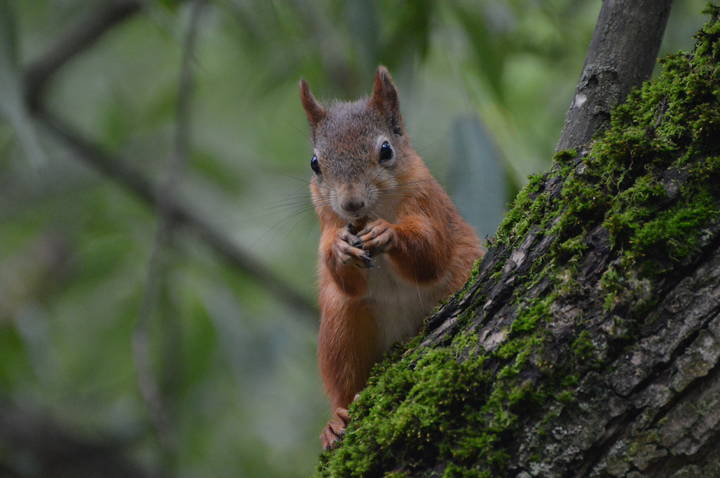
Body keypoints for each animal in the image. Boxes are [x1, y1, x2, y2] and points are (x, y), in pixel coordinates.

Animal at [299, 66, 484, 450]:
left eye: (386, 150)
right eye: (314, 163)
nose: (351, 203)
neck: (373, 212)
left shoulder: (430, 204)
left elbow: (431, 253)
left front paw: (389, 234)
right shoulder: (327, 223)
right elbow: (344, 277)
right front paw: (339, 248)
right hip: (341, 327)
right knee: (344, 384)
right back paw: (335, 422)